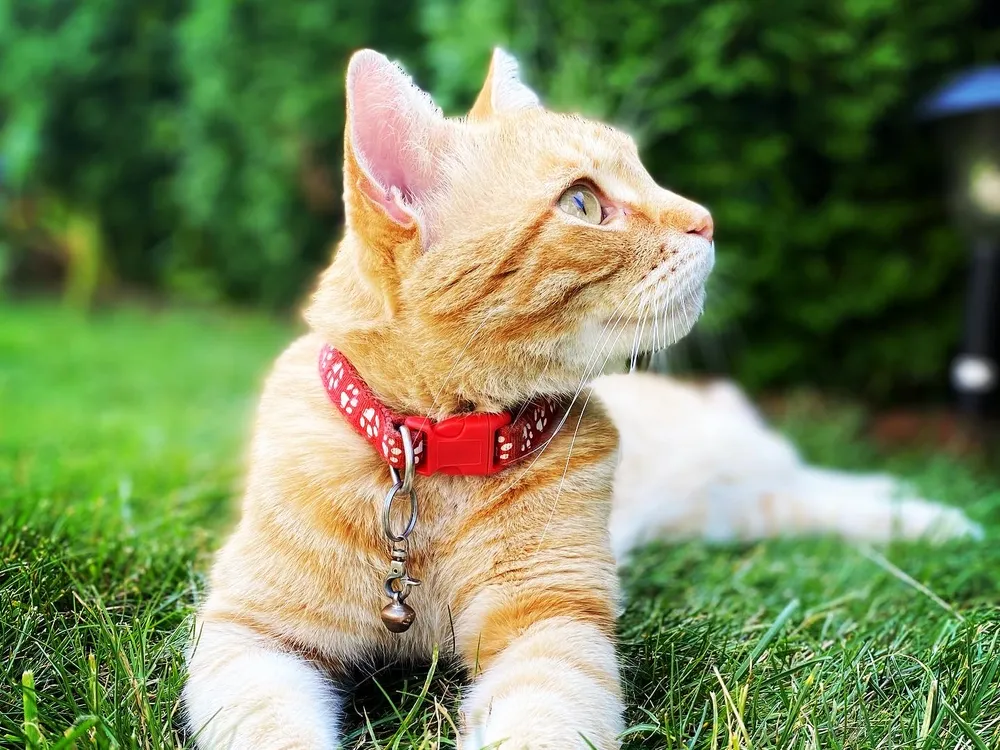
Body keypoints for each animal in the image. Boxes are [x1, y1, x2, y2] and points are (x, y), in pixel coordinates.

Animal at [180, 48, 712, 750]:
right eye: (582, 202)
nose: (708, 220)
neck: (433, 453)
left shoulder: (554, 624)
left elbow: (541, 722)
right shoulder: (250, 632)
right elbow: (274, 728)